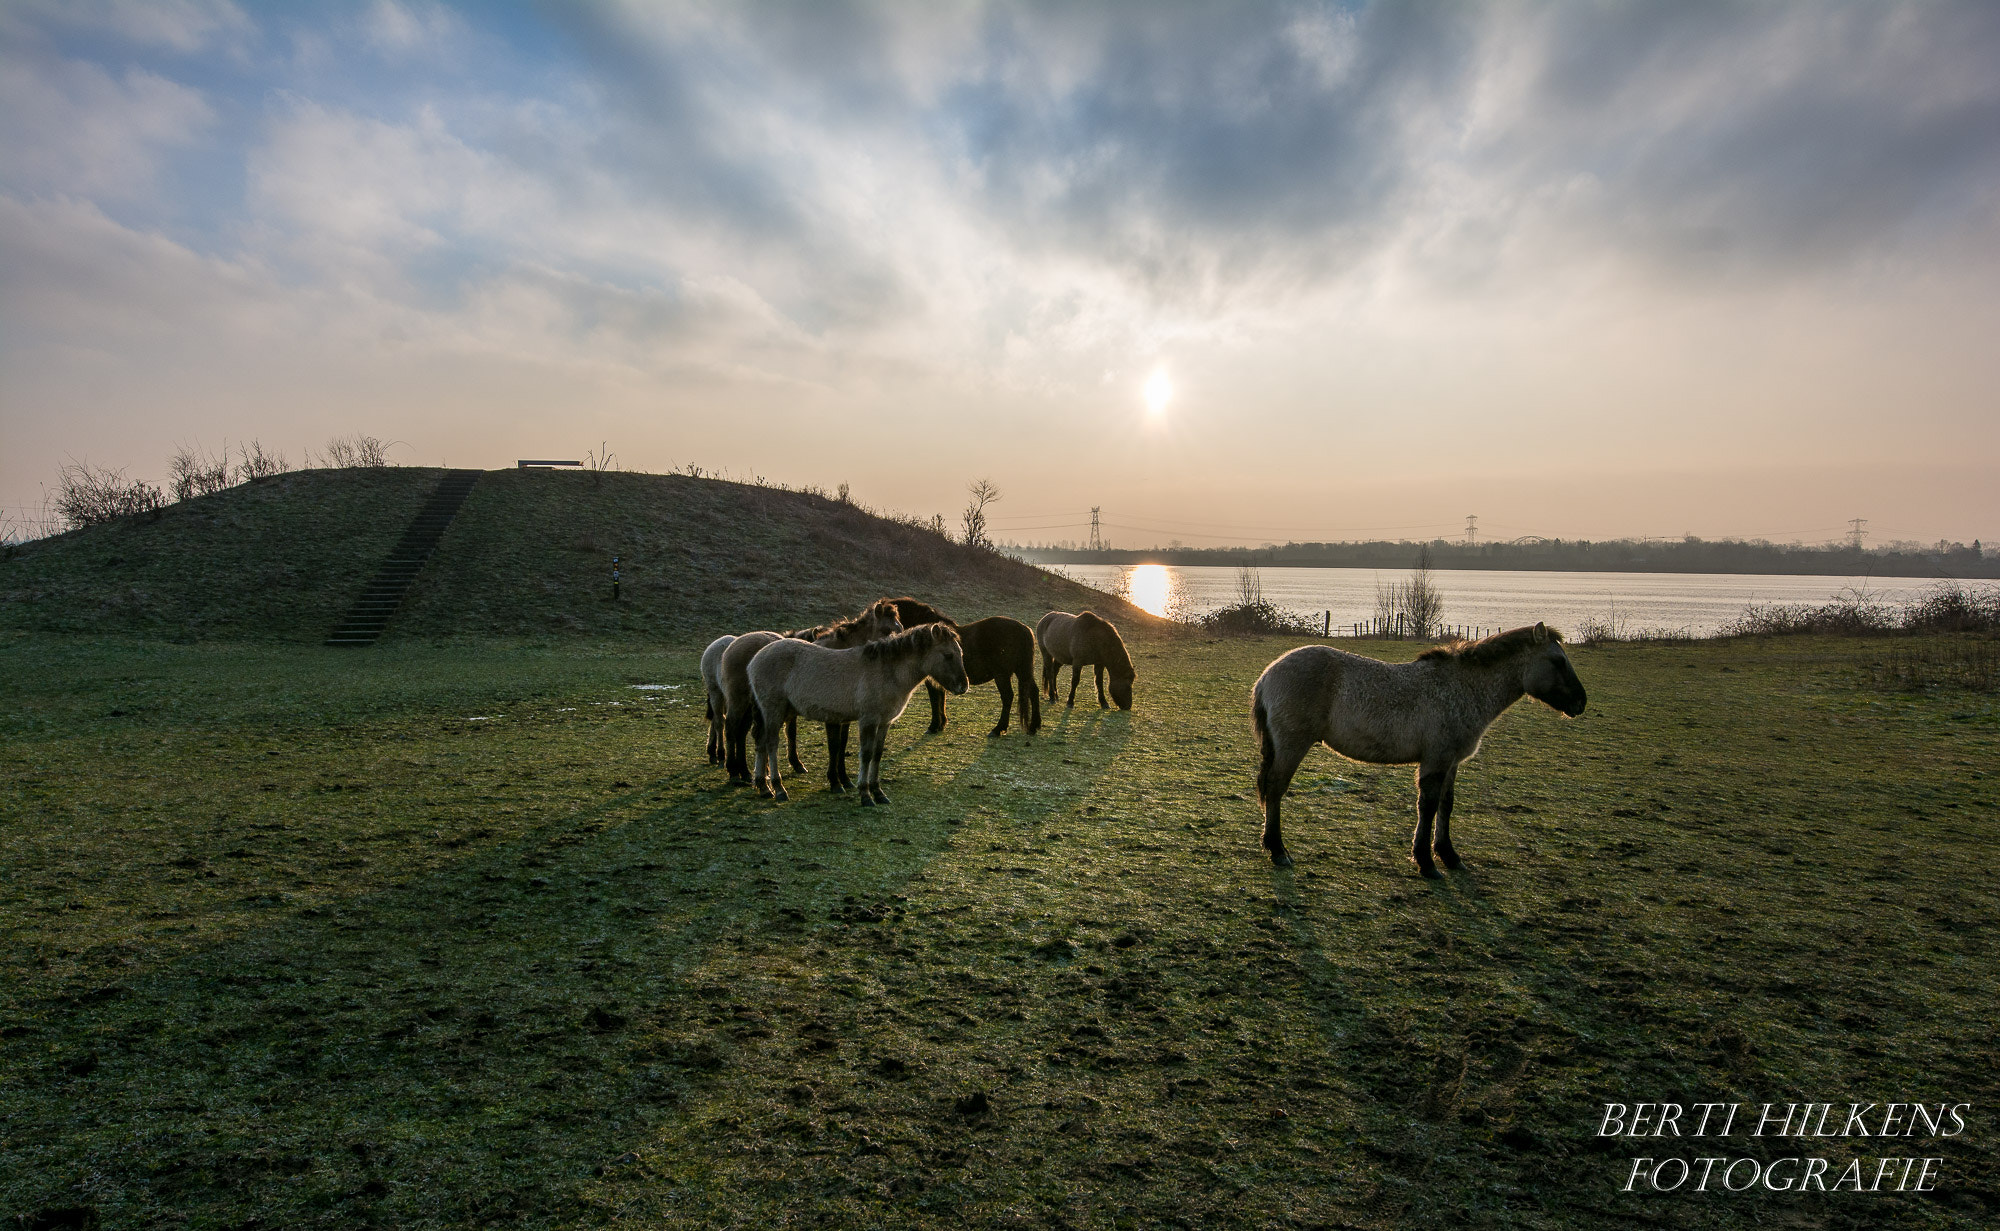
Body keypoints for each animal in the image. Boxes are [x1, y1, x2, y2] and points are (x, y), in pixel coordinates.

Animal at [718, 600, 902, 783]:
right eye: (886, 630)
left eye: (900, 628)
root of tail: (732, 646)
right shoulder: (833, 714)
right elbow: (834, 745)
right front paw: (835, 779)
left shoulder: (845, 715)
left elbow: (842, 744)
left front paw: (844, 778)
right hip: (739, 701)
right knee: (731, 727)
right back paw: (733, 770)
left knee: (742, 732)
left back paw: (746, 772)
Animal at [749, 623, 969, 805]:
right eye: (948, 655)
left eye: (960, 653)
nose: (963, 686)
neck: (886, 672)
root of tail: (754, 659)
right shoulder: (868, 721)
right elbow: (866, 754)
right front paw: (865, 794)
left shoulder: (884, 722)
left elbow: (877, 754)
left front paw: (878, 792)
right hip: (773, 710)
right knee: (771, 744)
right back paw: (778, 788)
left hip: (782, 711)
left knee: (761, 742)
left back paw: (763, 786)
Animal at [885, 598, 1041, 737]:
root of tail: (1024, 629)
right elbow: (941, 699)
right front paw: (941, 724)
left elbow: (935, 700)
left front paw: (934, 726)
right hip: (1022, 671)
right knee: (1033, 691)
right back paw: (1034, 726)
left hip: (1002, 675)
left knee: (1008, 696)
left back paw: (998, 729)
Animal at [1250, 623, 1587, 877]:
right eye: (1558, 661)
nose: (1581, 702)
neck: (1463, 689)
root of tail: (1268, 674)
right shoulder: (1435, 761)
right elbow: (1428, 806)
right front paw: (1426, 862)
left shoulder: (1451, 762)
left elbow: (1446, 806)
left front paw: (1449, 856)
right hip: (1292, 745)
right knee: (1275, 788)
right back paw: (1278, 850)